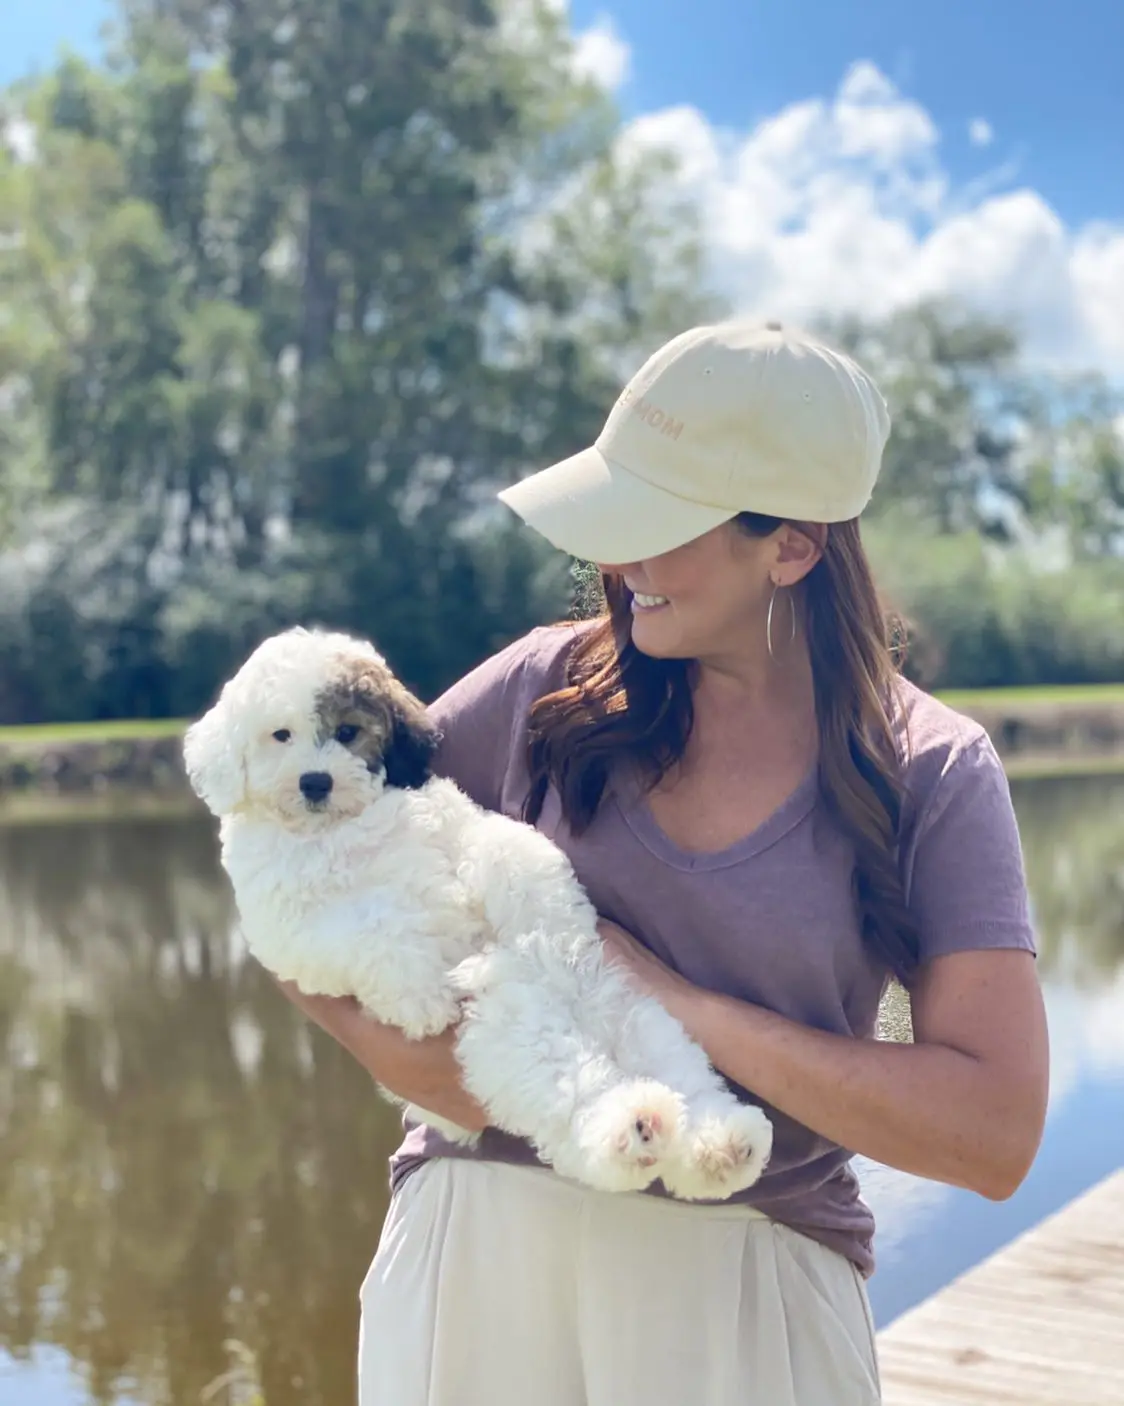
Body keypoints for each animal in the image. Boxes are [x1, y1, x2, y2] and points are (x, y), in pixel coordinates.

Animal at [182, 627, 776, 1197]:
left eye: (348, 732)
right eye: (280, 736)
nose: (315, 782)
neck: (342, 828)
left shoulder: (454, 820)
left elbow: (506, 847)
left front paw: (545, 914)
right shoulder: (287, 927)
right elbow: (370, 927)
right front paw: (421, 996)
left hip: (636, 1019)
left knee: (684, 1079)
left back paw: (721, 1144)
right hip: (511, 1050)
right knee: (579, 1109)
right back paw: (640, 1128)